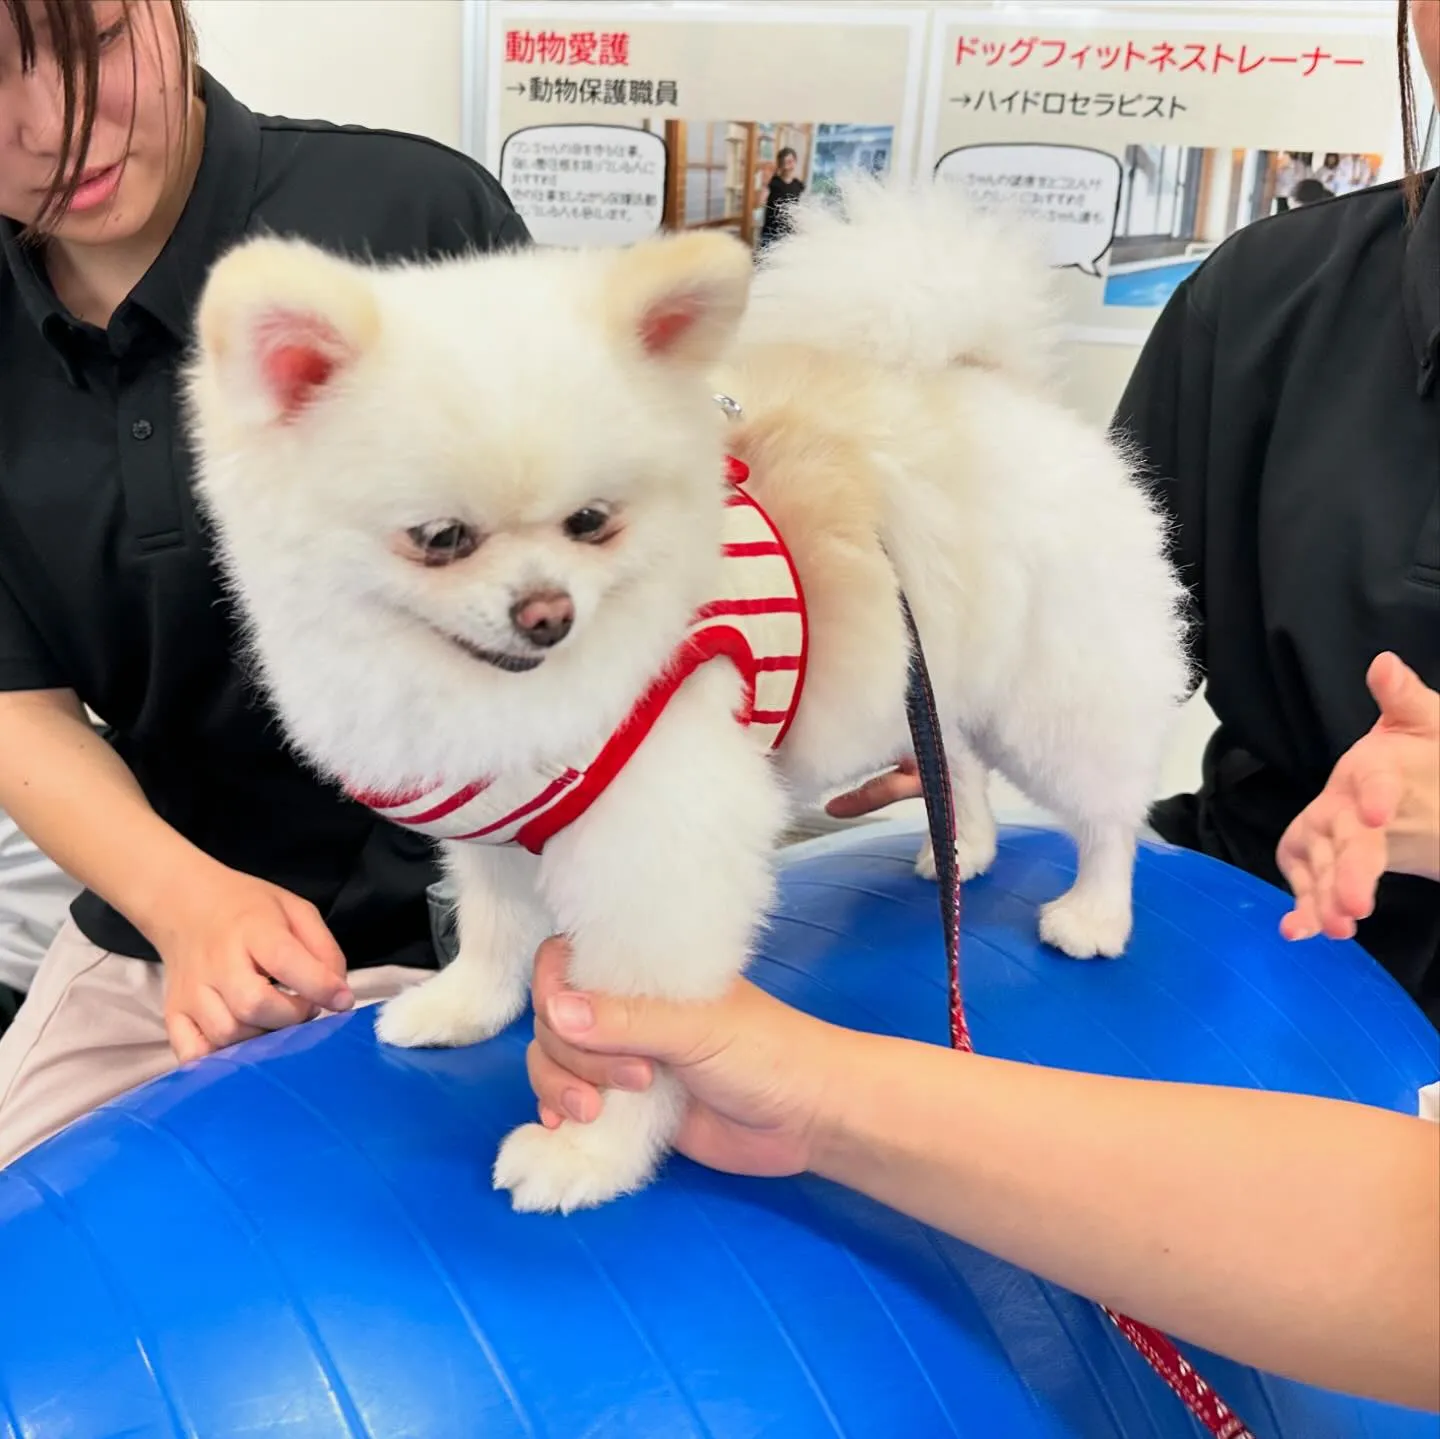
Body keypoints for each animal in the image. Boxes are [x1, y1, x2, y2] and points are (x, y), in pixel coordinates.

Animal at [185, 180, 1186, 1215]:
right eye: (440, 537)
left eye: (592, 522)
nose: (547, 613)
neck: (490, 694)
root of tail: (992, 383)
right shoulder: (497, 825)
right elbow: (495, 930)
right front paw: (465, 1006)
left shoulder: (659, 859)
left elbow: (634, 1031)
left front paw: (595, 1153)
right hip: (935, 674)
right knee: (958, 765)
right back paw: (968, 850)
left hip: (1056, 694)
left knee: (1106, 811)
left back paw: (1095, 913)